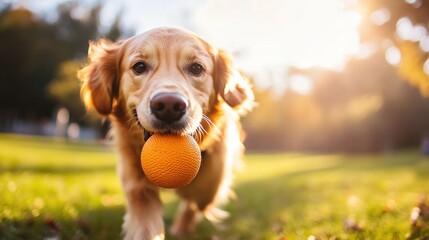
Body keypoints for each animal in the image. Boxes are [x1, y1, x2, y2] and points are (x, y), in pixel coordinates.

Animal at [77, 27, 251, 239]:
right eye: (139, 66)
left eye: (196, 68)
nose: (169, 105)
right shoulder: (136, 181)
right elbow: (145, 220)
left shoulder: (217, 167)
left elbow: (203, 195)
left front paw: (183, 224)